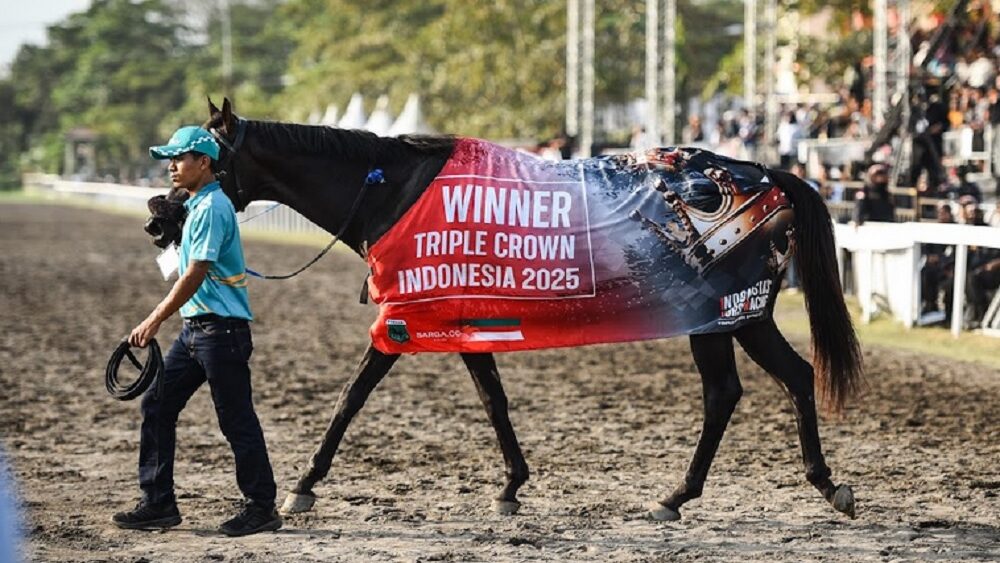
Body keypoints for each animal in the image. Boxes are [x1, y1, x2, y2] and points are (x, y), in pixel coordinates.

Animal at [201, 98, 863, 522]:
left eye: (205, 156)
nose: (175, 210)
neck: (392, 191)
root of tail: (767, 174)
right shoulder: (460, 319)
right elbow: (493, 400)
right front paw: (512, 485)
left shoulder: (406, 318)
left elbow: (351, 397)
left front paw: (303, 484)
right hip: (738, 318)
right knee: (775, 381)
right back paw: (794, 486)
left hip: (726, 314)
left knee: (734, 390)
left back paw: (691, 494)